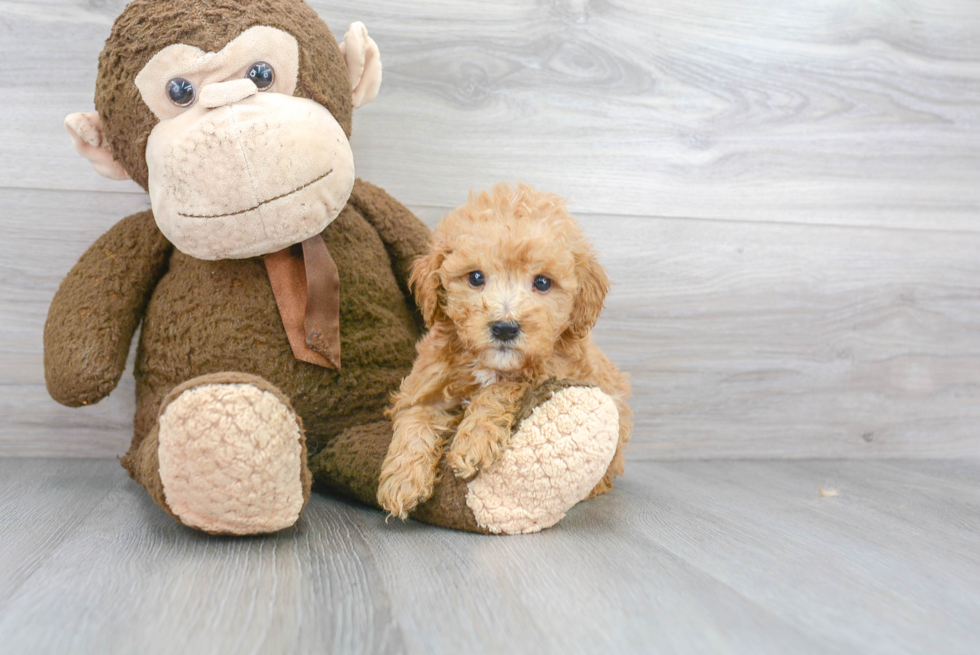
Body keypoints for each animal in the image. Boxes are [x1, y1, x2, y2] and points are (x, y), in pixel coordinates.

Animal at [376, 183, 628, 516]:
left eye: (543, 282)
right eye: (476, 277)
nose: (505, 328)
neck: (488, 364)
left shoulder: (553, 372)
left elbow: (502, 388)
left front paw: (474, 440)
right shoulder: (424, 387)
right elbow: (414, 418)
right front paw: (403, 480)